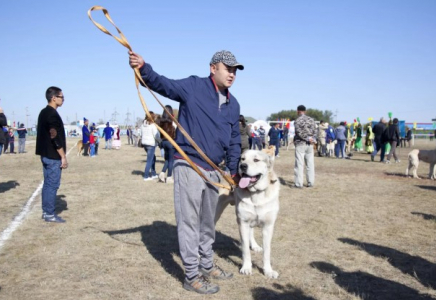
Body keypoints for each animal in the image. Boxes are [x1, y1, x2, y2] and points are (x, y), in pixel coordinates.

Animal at [216, 148, 282, 278]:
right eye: (242, 159)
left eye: (256, 160)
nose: (243, 166)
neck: (256, 193)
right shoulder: (243, 223)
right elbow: (245, 250)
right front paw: (246, 268)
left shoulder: (268, 226)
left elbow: (267, 251)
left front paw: (268, 271)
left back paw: (255, 246)